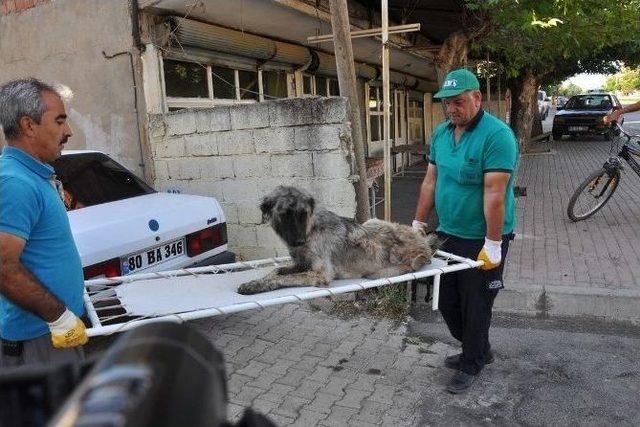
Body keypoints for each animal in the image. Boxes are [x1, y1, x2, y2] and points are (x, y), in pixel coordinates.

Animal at [238, 186, 442, 296]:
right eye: (284, 214)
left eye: (303, 214)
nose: (299, 241)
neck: (311, 229)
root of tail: (424, 242)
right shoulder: (301, 264)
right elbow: (276, 271)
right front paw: (257, 281)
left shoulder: (319, 274)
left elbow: (283, 278)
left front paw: (255, 285)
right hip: (371, 222)